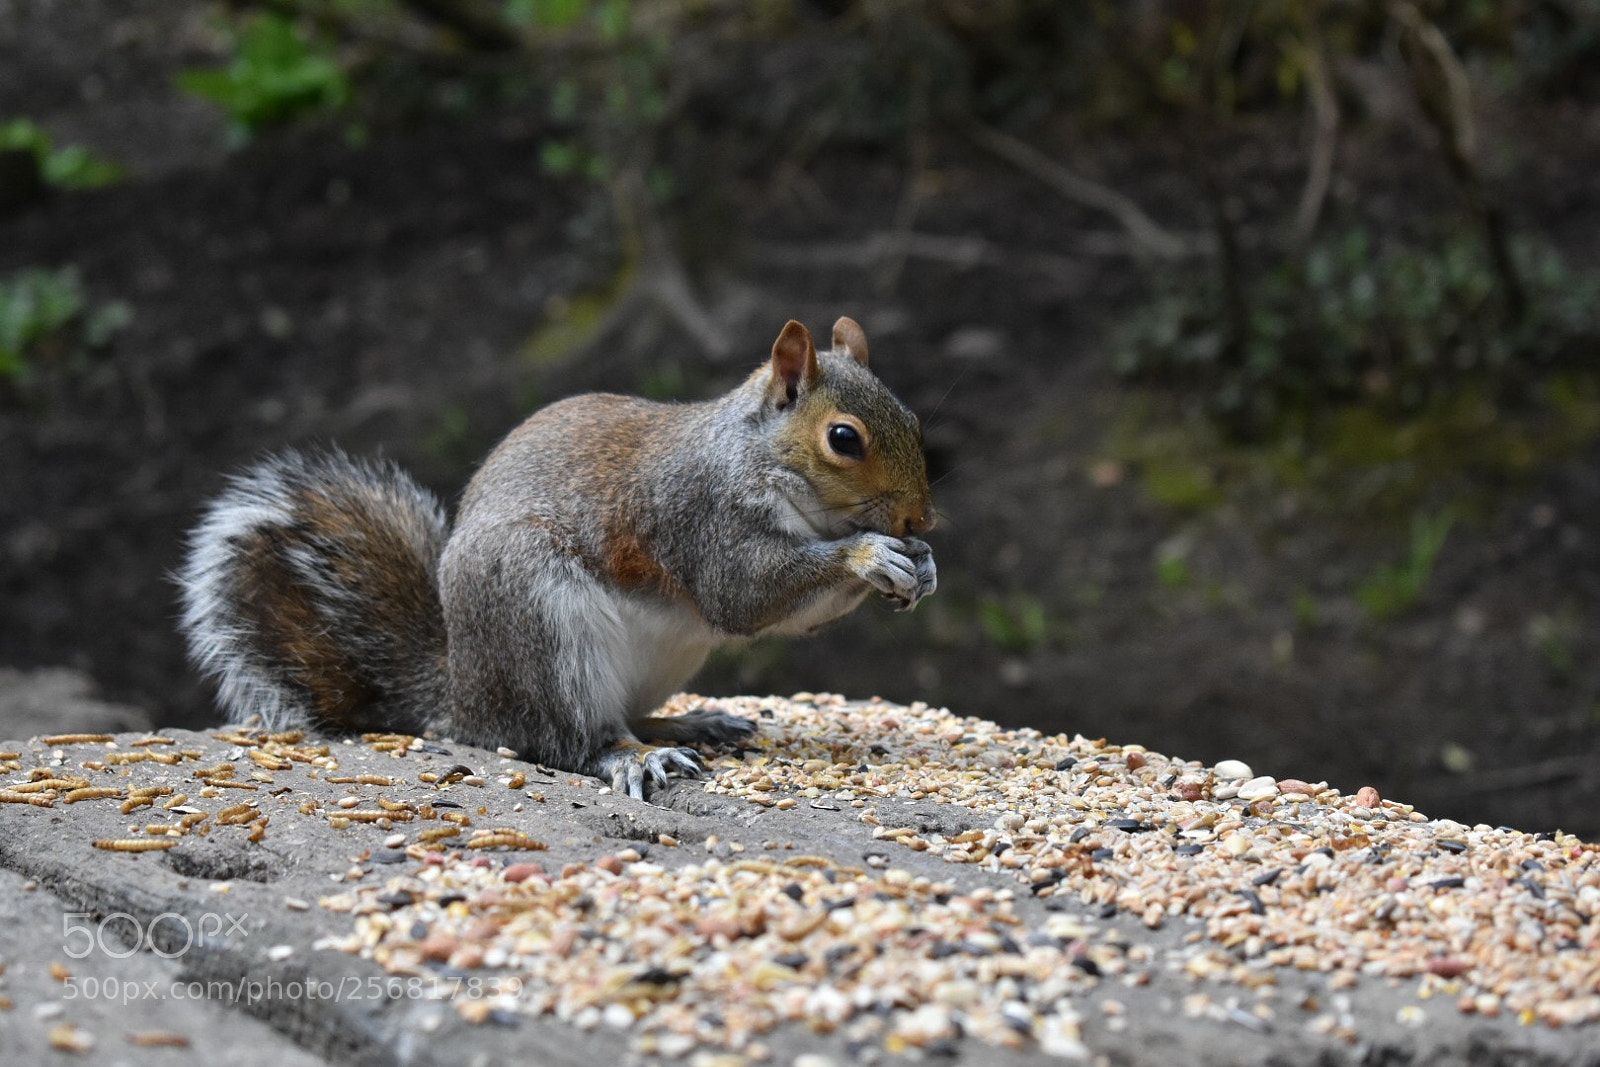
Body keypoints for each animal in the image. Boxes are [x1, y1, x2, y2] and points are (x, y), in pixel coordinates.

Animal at [177, 317, 937, 798]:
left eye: (914, 419)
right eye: (843, 438)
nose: (920, 520)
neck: (754, 455)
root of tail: (465, 699)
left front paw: (921, 564)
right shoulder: (701, 516)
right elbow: (744, 596)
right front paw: (871, 554)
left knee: (619, 716)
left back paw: (688, 723)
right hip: (541, 623)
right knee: (567, 740)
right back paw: (635, 757)